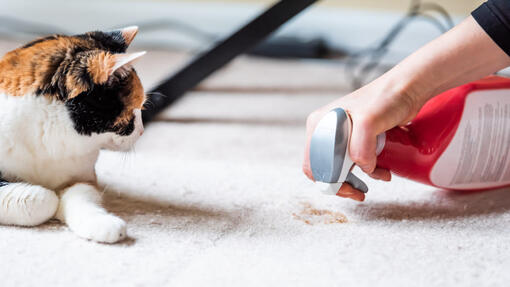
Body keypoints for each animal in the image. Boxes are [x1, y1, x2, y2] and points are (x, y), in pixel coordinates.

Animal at [0, 26, 145, 243]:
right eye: (134, 111)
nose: (142, 131)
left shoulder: (83, 176)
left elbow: (80, 196)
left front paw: (104, 225)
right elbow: (43, 200)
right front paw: (49, 198)